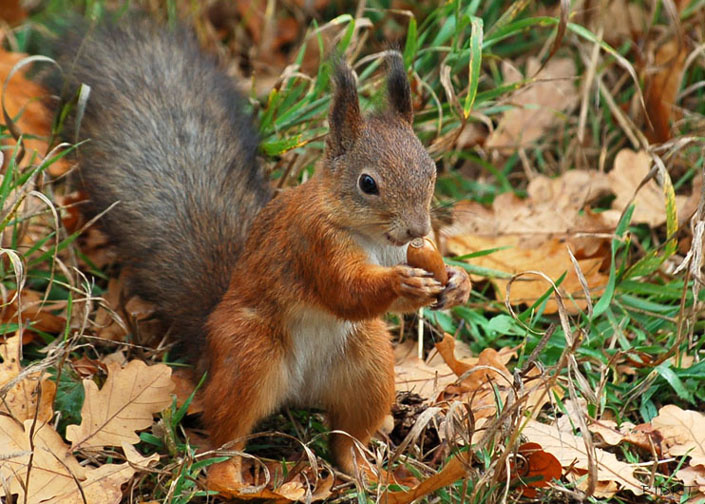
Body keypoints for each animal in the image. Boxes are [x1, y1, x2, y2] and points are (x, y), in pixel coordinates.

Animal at [47, 16, 471, 478]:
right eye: (367, 183)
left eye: (430, 169)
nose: (417, 228)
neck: (372, 238)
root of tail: (299, 391)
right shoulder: (312, 244)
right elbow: (345, 291)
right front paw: (401, 283)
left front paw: (458, 282)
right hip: (250, 355)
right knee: (228, 433)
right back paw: (229, 478)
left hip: (369, 366)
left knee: (345, 436)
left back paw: (362, 469)